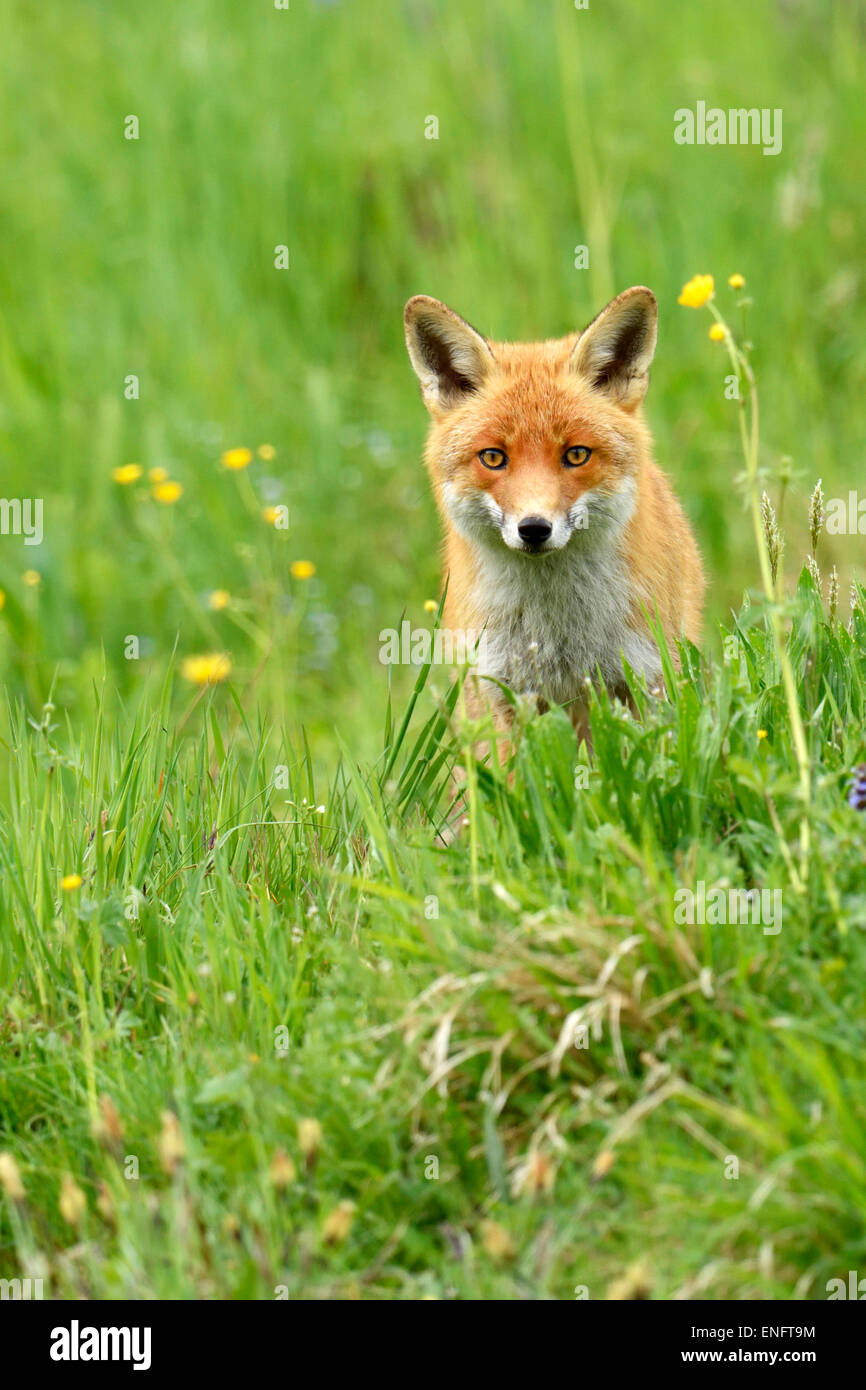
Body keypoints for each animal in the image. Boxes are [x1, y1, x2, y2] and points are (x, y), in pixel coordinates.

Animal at [403, 287, 708, 756]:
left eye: (576, 454)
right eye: (494, 457)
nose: (534, 528)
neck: (557, 633)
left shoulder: (646, 679)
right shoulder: (500, 692)